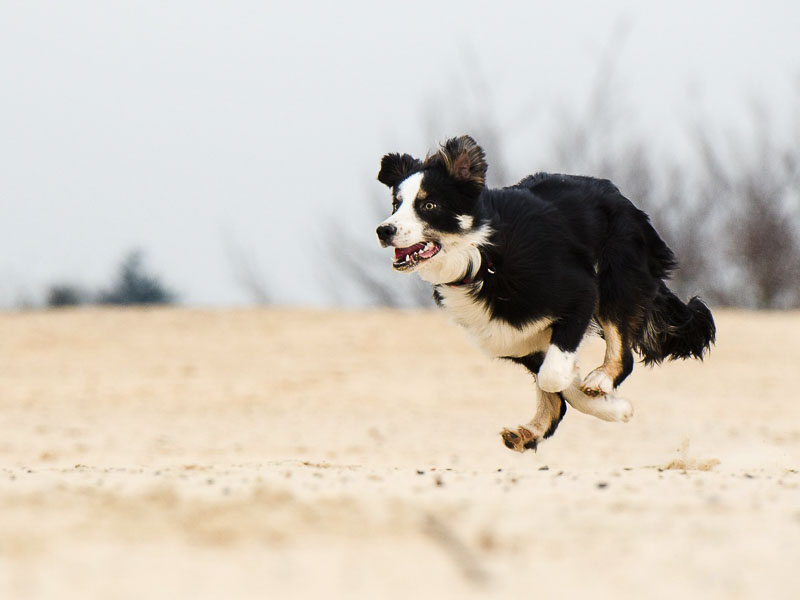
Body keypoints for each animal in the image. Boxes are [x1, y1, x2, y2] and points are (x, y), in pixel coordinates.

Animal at [376, 136, 720, 452]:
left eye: (428, 205)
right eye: (395, 205)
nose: (384, 230)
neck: (484, 259)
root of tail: (620, 197)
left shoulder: (580, 293)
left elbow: (553, 376)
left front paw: (611, 403)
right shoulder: (506, 336)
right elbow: (555, 382)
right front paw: (611, 407)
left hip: (616, 279)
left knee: (621, 351)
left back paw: (599, 380)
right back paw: (529, 432)